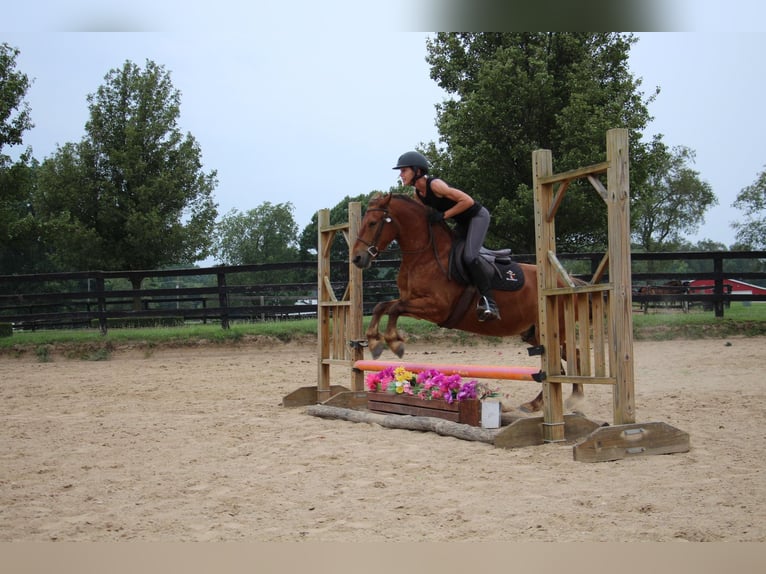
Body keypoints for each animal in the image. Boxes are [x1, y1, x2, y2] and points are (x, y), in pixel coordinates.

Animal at [354, 194, 588, 414]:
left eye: (373, 223)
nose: (357, 258)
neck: (425, 256)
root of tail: (566, 280)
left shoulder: (437, 308)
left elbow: (394, 309)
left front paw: (394, 342)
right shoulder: (413, 302)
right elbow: (382, 306)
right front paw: (374, 342)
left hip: (553, 330)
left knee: (567, 360)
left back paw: (569, 399)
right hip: (534, 333)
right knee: (564, 361)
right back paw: (539, 403)